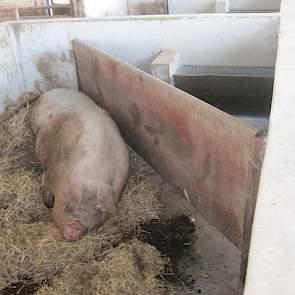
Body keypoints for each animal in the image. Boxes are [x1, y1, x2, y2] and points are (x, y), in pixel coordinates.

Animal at [31, 89, 130, 242]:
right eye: (69, 204)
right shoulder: (50, 174)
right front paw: (47, 204)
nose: (75, 226)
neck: (92, 176)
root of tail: (52, 90)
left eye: (97, 208)